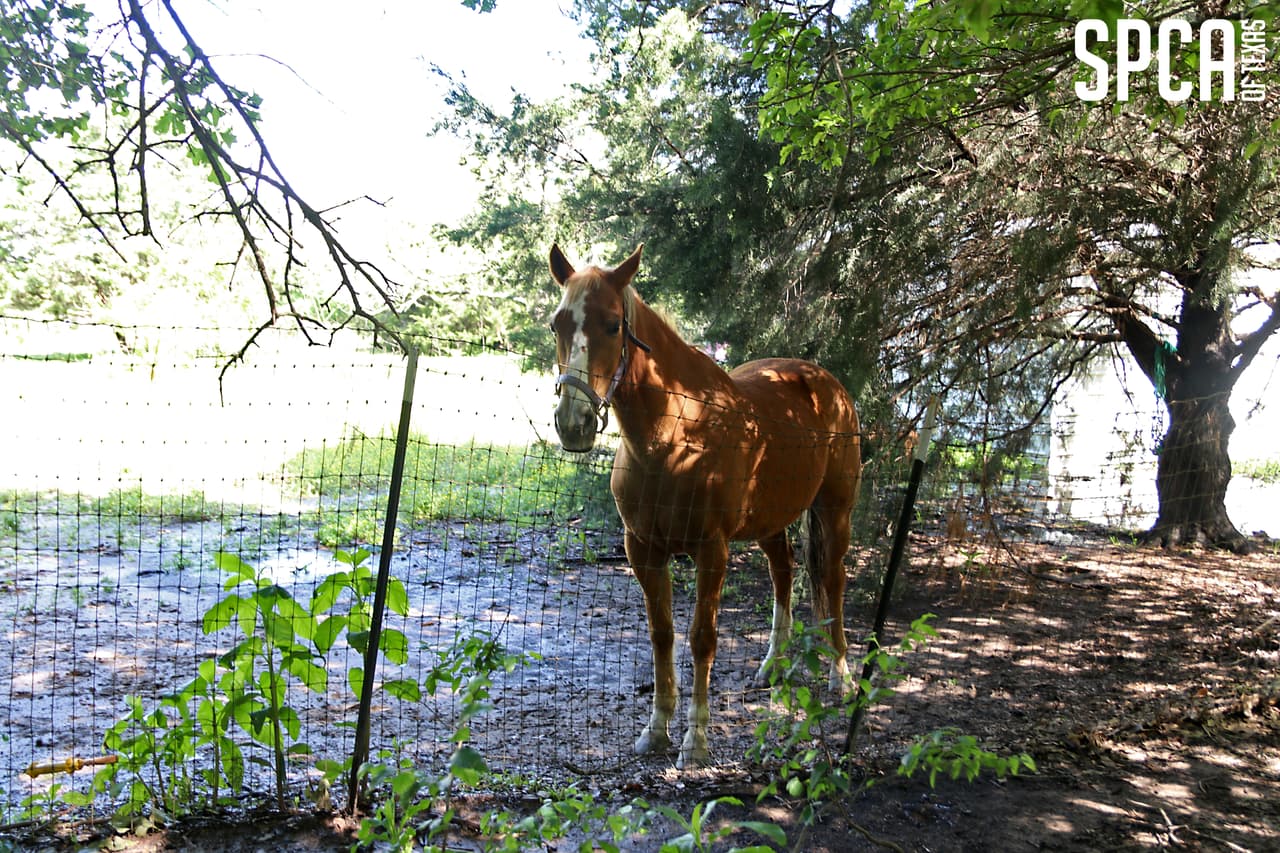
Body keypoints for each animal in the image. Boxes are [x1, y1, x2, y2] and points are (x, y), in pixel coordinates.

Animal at [548, 243, 863, 768]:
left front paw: (695, 740)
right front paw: (656, 731)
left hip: (835, 512)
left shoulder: (711, 552)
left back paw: (841, 675)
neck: (676, 433)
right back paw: (772, 665)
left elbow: (701, 638)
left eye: (612, 324)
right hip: (770, 521)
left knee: (833, 582)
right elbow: (662, 635)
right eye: (558, 324)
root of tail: (826, 384)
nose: (573, 423)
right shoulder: (643, 551)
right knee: (784, 572)